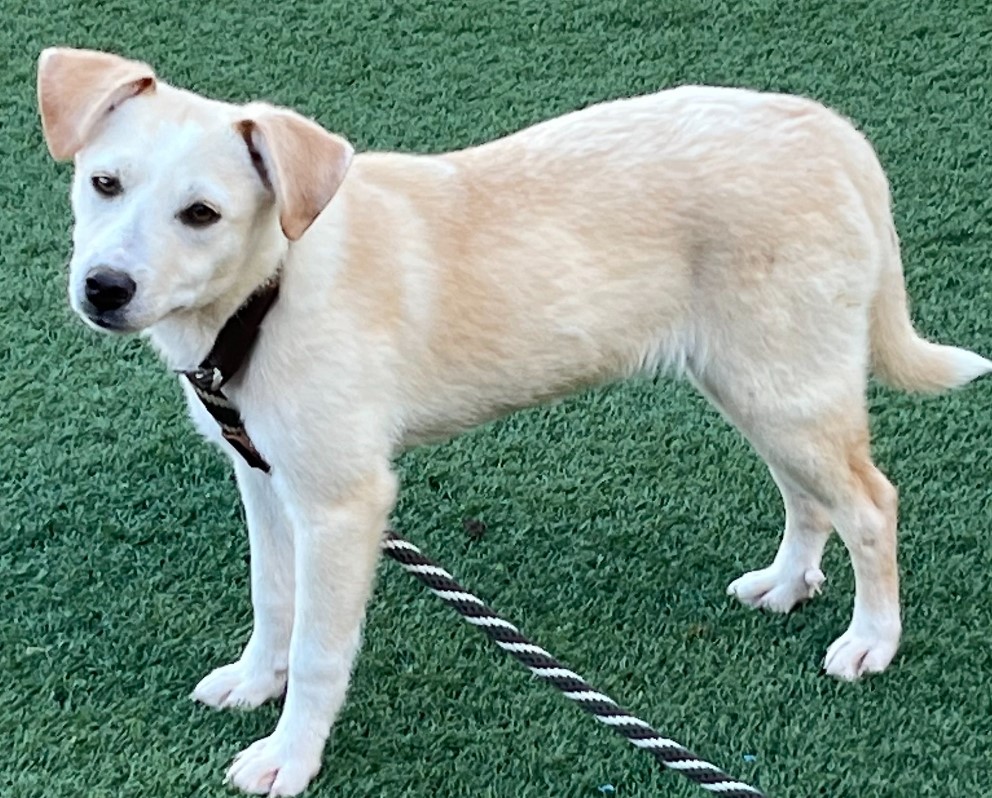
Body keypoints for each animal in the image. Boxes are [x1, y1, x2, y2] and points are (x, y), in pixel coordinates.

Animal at [38, 47, 992, 796]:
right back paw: (789, 584)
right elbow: (273, 599)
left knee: (871, 504)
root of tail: (827, 130)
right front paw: (252, 681)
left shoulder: (343, 503)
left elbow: (317, 647)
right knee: (808, 496)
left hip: (785, 386)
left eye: (201, 214)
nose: (103, 290)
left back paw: (871, 642)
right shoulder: (266, 478)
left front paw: (290, 758)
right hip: (762, 383)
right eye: (103, 183)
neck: (270, 283)